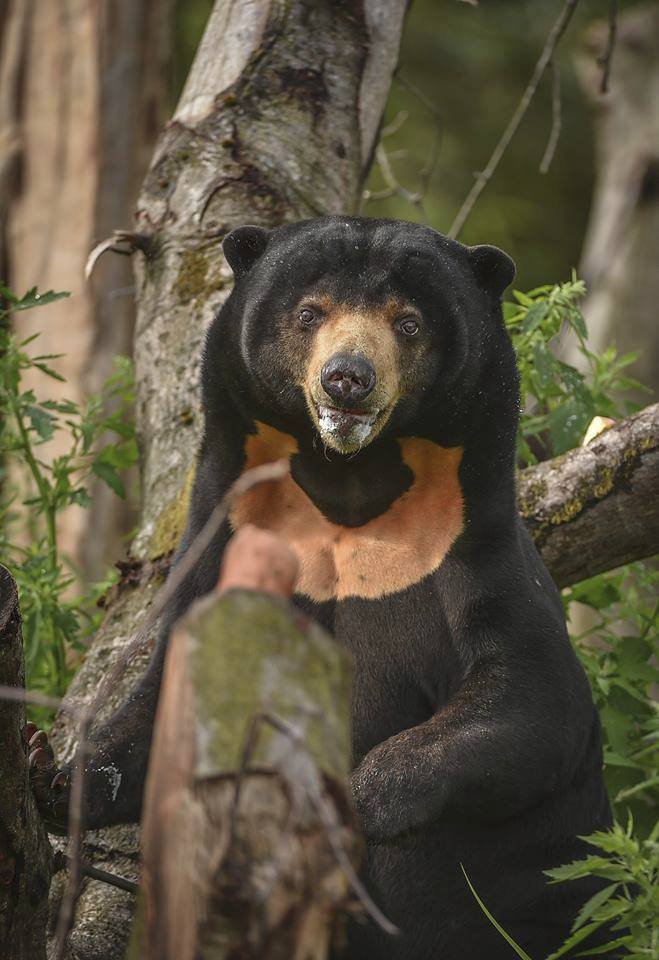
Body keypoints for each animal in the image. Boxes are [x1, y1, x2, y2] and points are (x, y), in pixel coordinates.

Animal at [25, 218, 612, 960]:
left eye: (408, 322)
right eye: (309, 313)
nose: (347, 380)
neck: (349, 485)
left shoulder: (476, 545)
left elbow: (533, 696)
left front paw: (360, 799)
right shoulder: (221, 543)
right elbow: (166, 700)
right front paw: (49, 768)